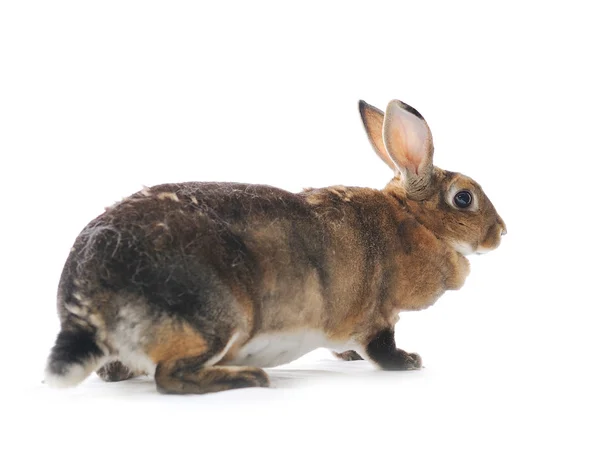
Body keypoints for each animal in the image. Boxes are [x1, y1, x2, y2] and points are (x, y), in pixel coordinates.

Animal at [45, 99, 506, 394]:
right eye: (464, 198)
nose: (501, 232)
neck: (413, 221)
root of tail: (87, 302)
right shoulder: (378, 313)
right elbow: (382, 347)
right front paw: (409, 361)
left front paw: (348, 358)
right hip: (218, 319)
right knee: (169, 377)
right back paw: (247, 377)